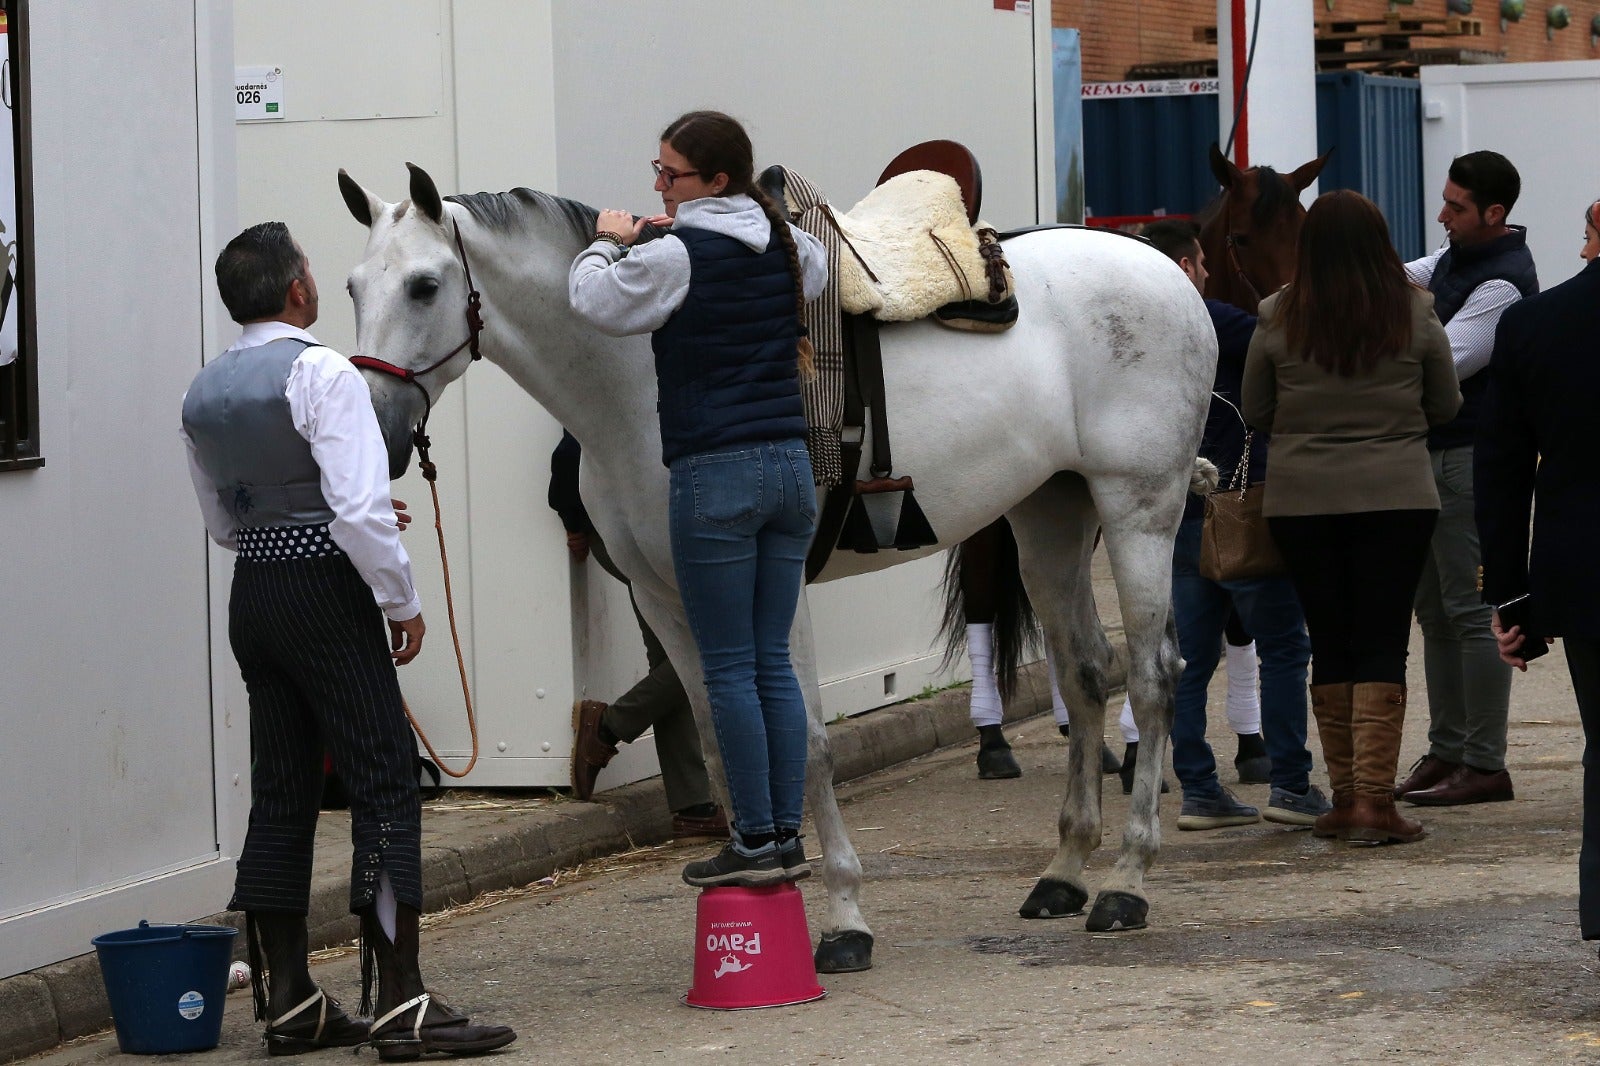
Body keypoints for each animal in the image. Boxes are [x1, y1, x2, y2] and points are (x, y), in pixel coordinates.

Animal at [337, 161, 1209, 966]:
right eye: (350, 286)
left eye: (424, 286)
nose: (374, 428)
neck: (647, 375)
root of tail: (1163, 271)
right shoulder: (667, 597)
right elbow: (724, 742)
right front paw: (751, 883)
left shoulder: (774, 584)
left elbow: (807, 741)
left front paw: (845, 918)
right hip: (1050, 514)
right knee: (1087, 673)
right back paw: (1065, 872)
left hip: (1139, 507)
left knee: (1153, 675)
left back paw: (1128, 881)